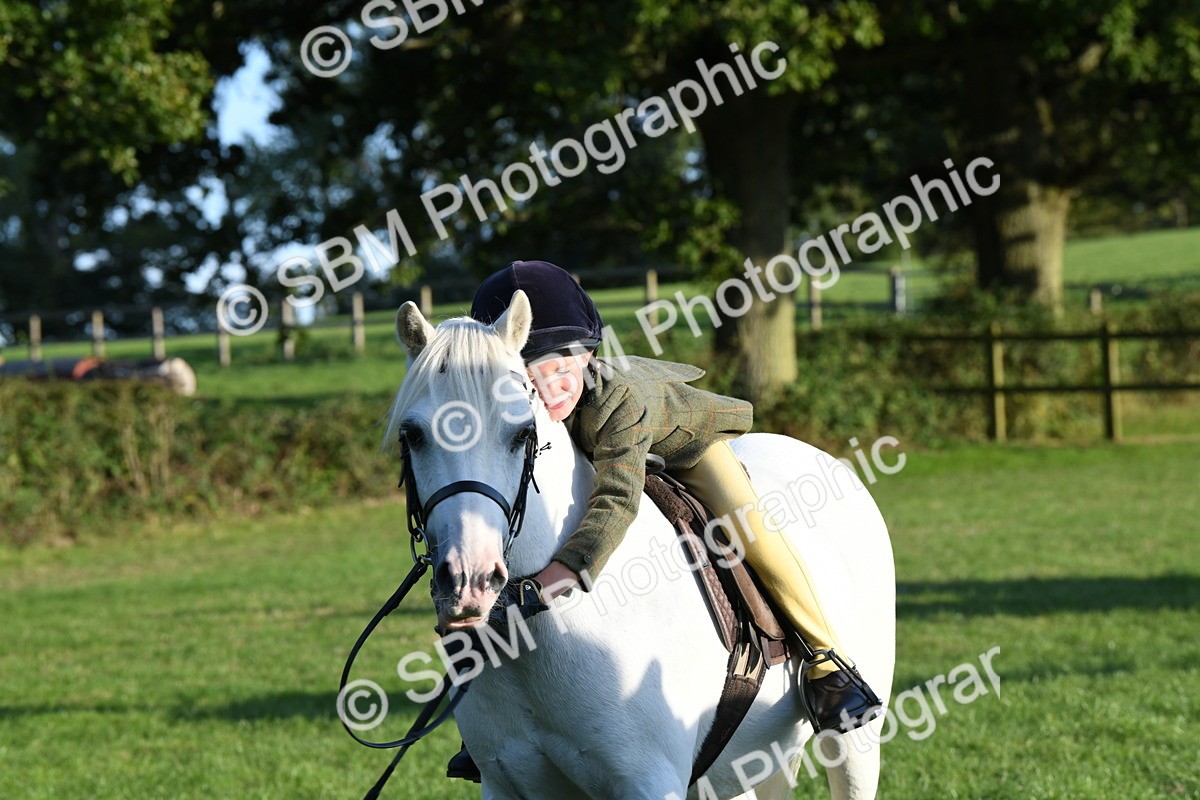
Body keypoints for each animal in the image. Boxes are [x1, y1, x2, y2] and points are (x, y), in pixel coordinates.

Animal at [385, 292, 896, 799]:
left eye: (522, 433)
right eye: (413, 435)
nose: (469, 581)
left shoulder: (649, 782)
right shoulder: (507, 784)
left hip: (854, 747)